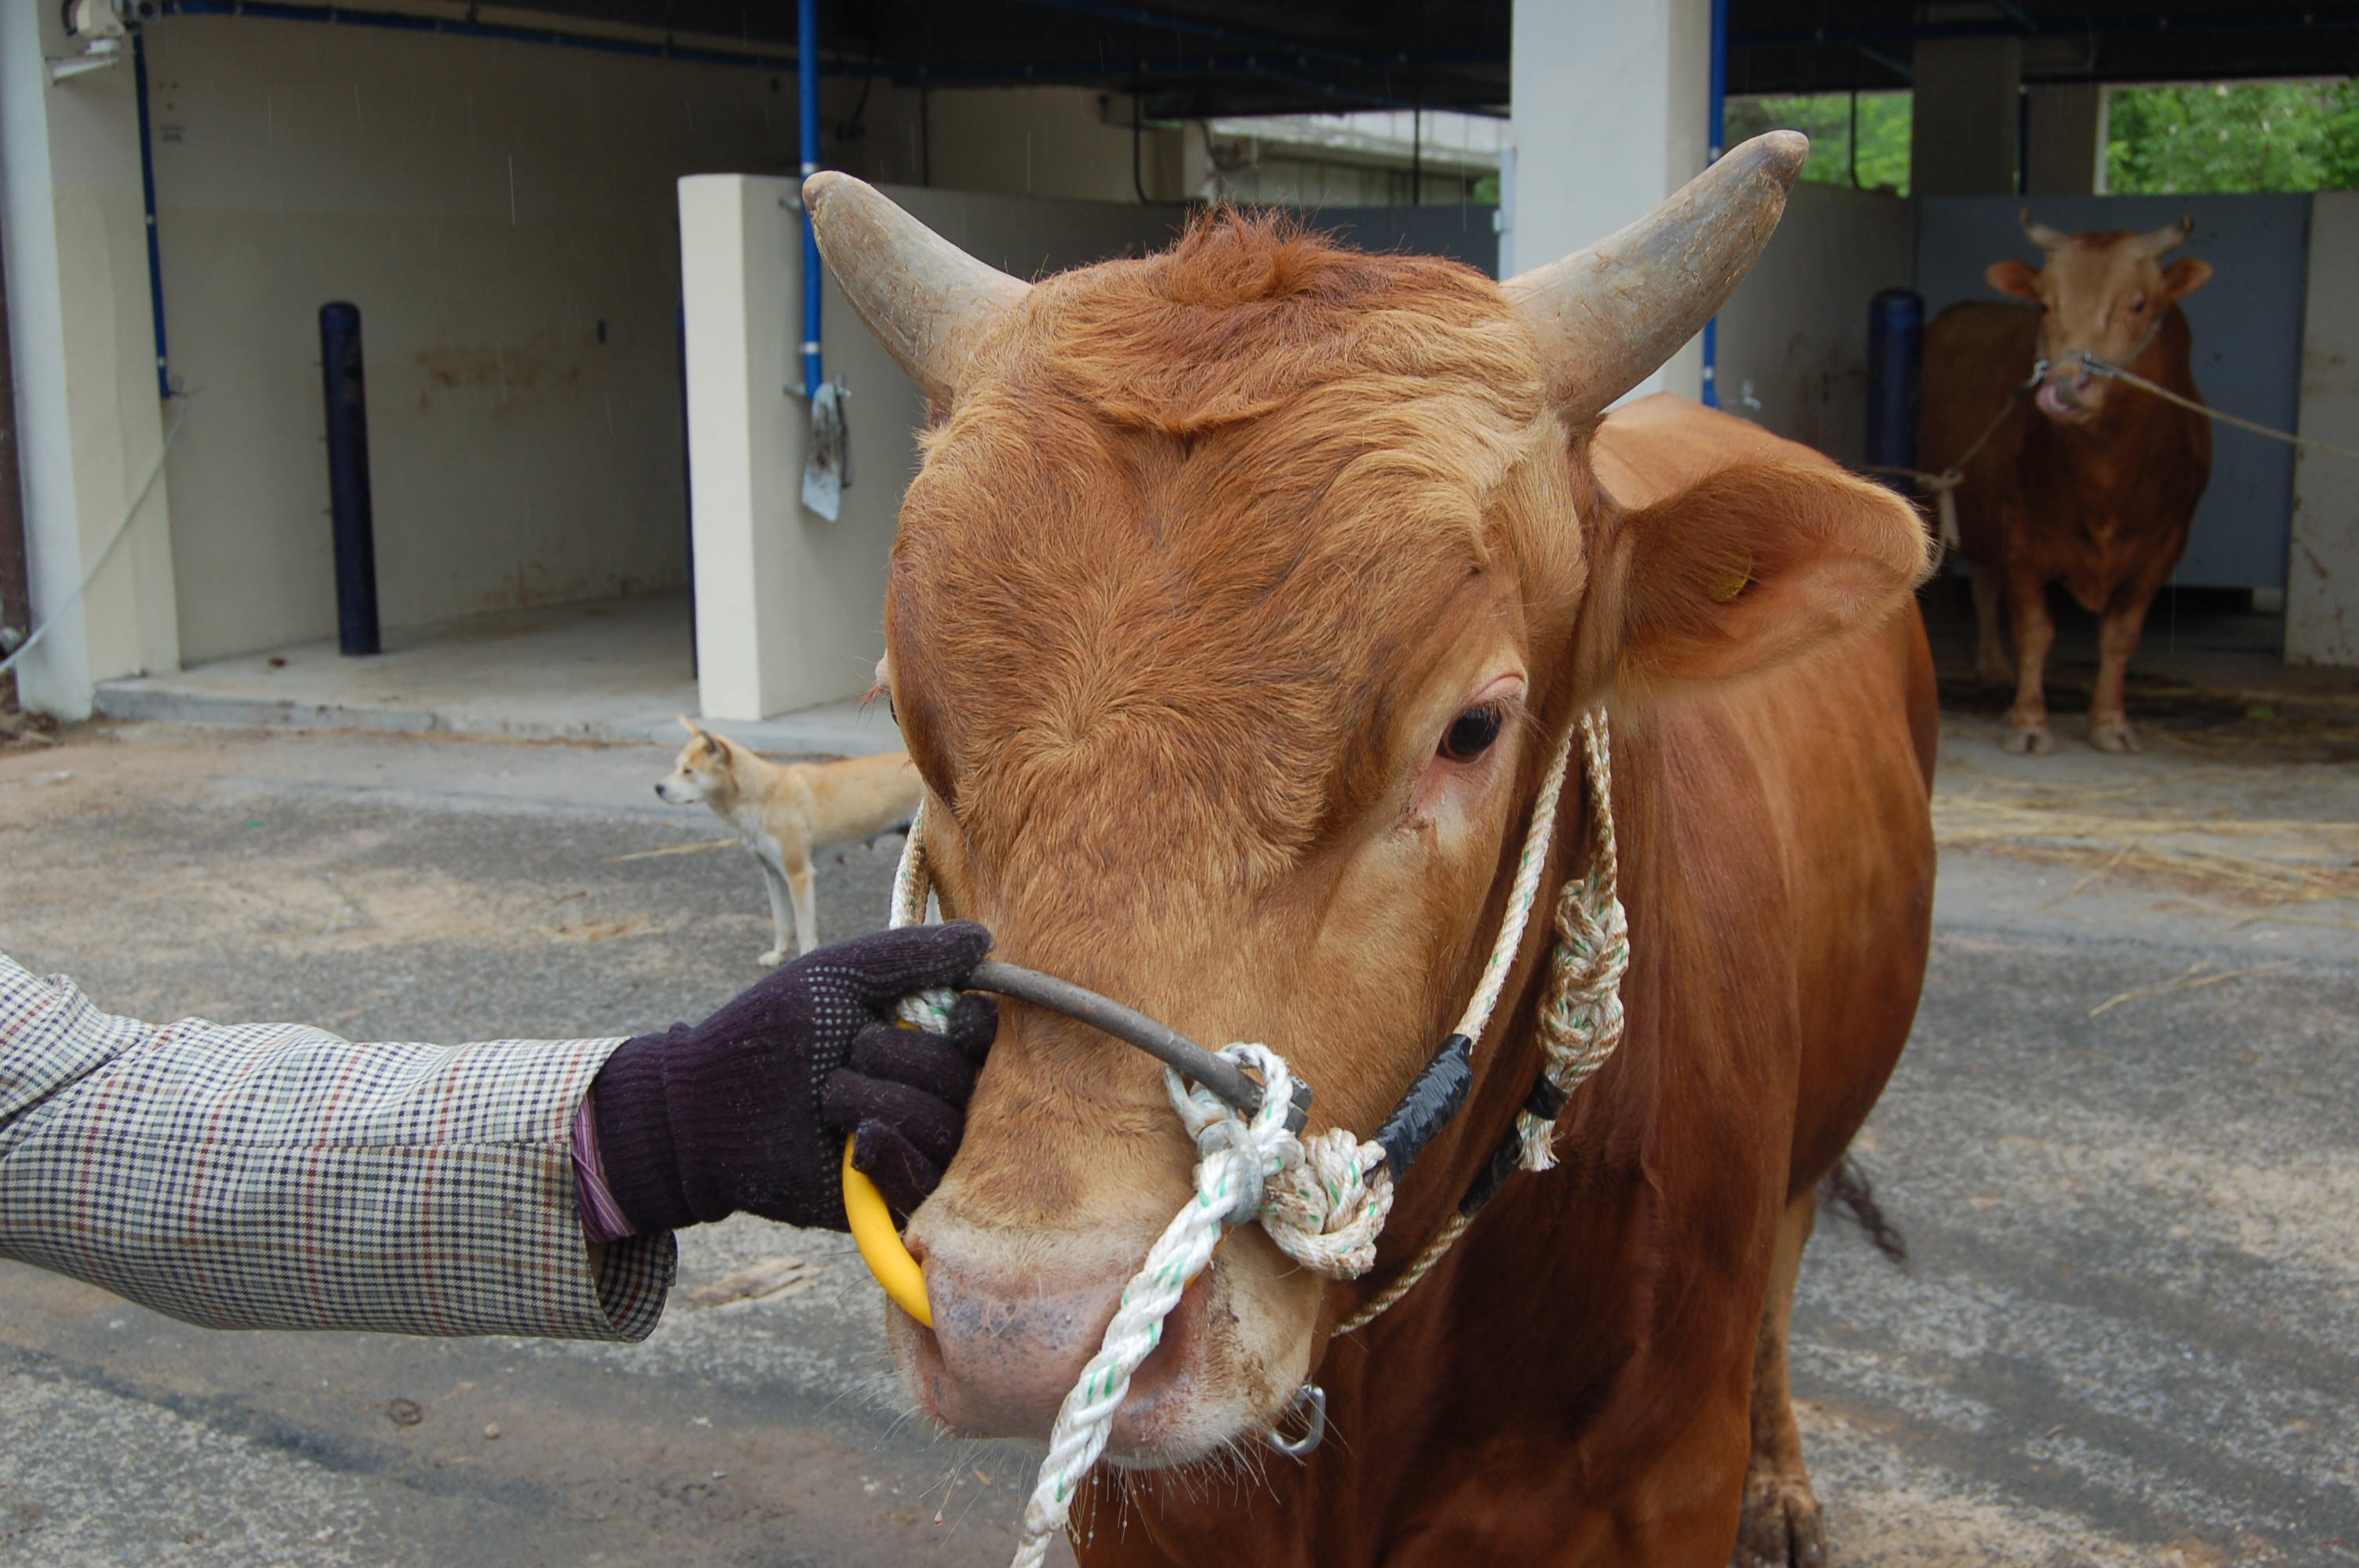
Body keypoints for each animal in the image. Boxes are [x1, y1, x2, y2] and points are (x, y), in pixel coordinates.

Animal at [665, 721, 929, 967]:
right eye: (677, 767)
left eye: (688, 771)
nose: (659, 788)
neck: (764, 796)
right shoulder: (773, 874)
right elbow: (782, 923)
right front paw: (777, 955)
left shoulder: (798, 875)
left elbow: (803, 928)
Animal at [1915, 212, 2208, 754]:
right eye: (2046, 304)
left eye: (2138, 303)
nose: (2067, 386)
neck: (2106, 478)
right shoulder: (2020, 540)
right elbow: (2035, 629)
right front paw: (2030, 723)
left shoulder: (2164, 547)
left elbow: (2120, 634)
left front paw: (2110, 722)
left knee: (1983, 582)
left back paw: (1994, 667)